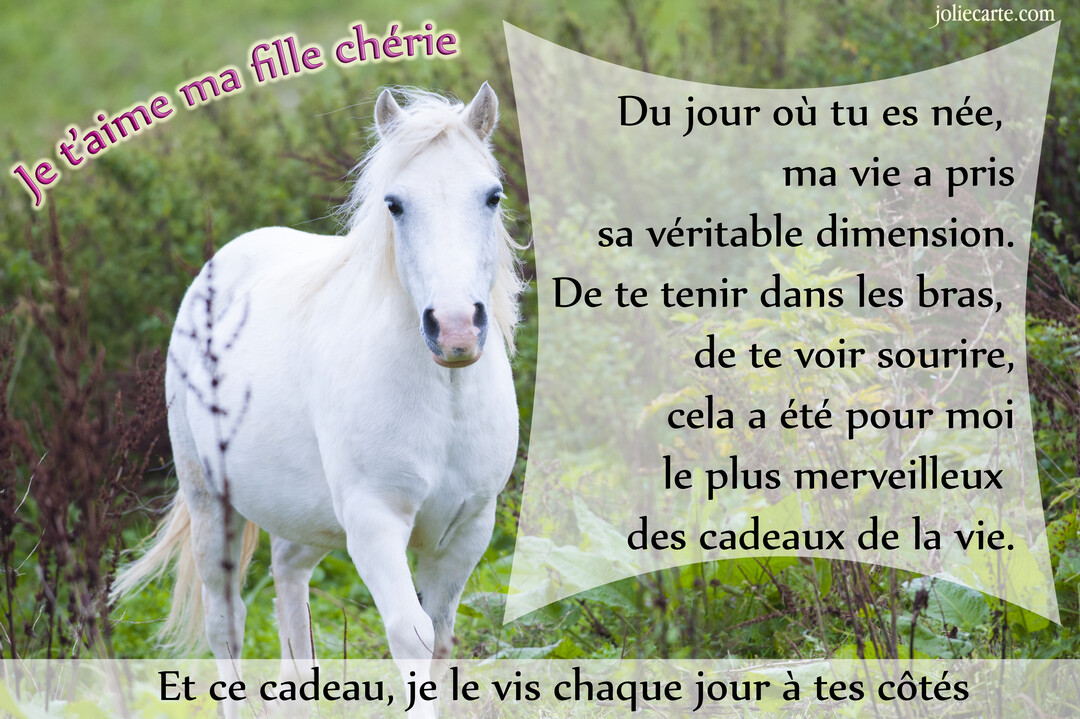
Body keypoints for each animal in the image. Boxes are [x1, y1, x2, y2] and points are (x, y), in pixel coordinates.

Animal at [113, 84, 522, 717]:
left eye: (492, 196)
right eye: (395, 204)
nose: (455, 328)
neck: (443, 399)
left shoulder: (468, 528)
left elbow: (441, 637)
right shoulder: (375, 524)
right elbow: (412, 636)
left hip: (303, 521)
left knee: (289, 586)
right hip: (211, 508)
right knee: (226, 625)